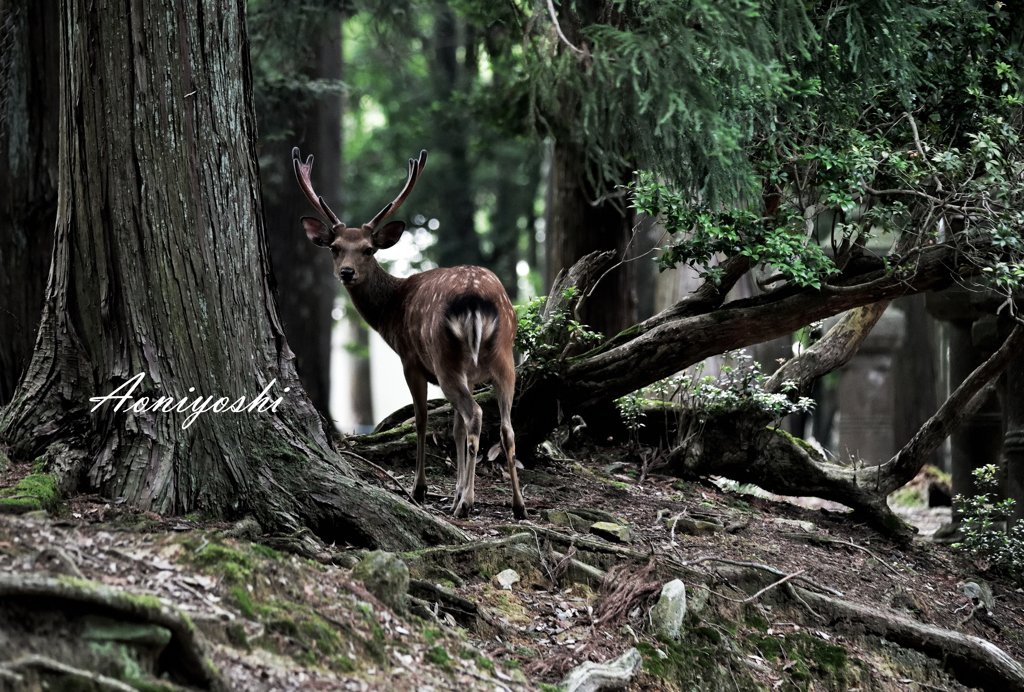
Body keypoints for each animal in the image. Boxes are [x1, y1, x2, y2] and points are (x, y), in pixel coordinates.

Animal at [290, 148, 524, 522]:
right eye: (335, 247)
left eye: (369, 249)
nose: (346, 272)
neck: (392, 310)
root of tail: (476, 300)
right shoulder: (471, 375)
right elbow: (455, 429)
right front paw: (454, 493)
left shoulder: (411, 361)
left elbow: (422, 421)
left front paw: (422, 490)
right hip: (503, 357)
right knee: (504, 426)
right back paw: (517, 506)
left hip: (445, 357)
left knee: (475, 415)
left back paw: (467, 505)